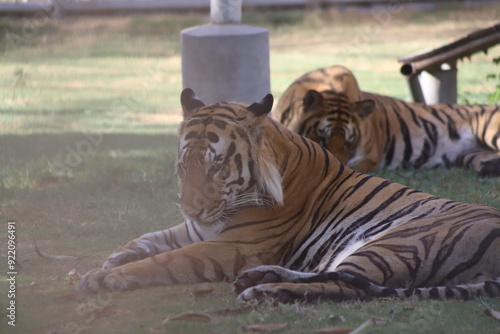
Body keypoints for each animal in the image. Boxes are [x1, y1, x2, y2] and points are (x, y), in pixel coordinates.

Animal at [76, 88, 498, 302]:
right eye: (184, 166)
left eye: (215, 165)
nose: (192, 208)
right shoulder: (199, 229)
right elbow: (148, 239)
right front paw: (113, 258)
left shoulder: (235, 243)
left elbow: (165, 261)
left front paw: (100, 277)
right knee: (335, 275)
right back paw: (259, 279)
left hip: (398, 242)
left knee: (345, 285)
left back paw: (263, 290)